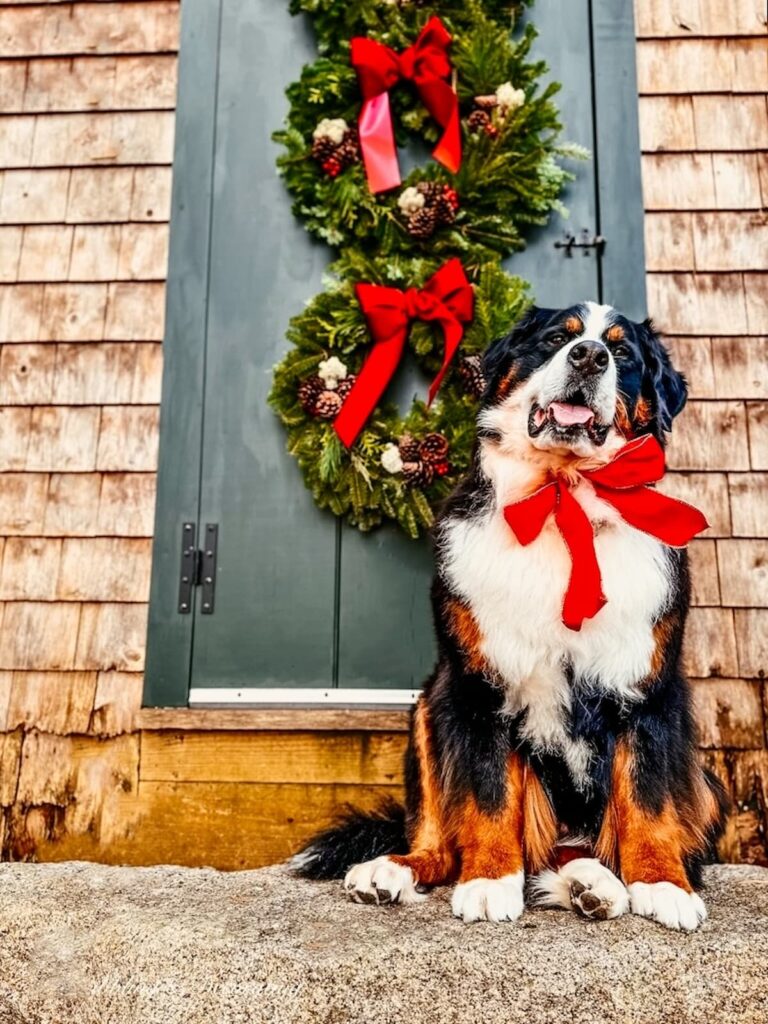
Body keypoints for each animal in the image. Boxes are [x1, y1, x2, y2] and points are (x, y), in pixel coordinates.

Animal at [292, 301, 729, 929]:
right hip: (429, 708)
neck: (561, 496)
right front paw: (490, 880)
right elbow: (490, 794)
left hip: (707, 781)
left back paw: (596, 885)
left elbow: (647, 796)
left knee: (587, 845)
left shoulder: (650, 690)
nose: (589, 357)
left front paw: (662, 884)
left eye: (621, 352)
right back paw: (391, 871)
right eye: (554, 340)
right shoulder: (478, 683)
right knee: (441, 841)